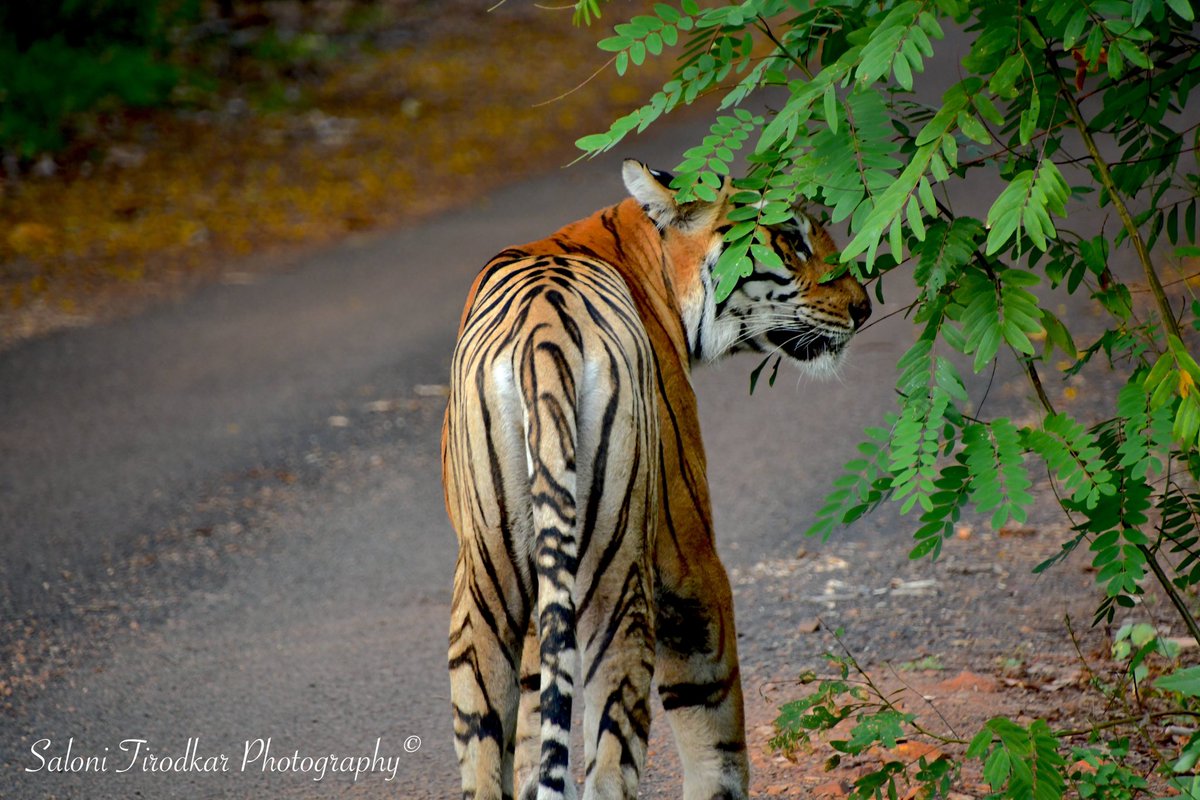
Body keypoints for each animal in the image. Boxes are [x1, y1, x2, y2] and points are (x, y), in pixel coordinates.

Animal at [446, 159, 868, 796]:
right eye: (792, 240)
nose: (863, 307)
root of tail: (544, 338)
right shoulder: (688, 555)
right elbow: (714, 723)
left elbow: (532, 733)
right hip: (616, 574)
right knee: (610, 765)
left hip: (487, 582)